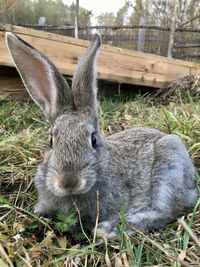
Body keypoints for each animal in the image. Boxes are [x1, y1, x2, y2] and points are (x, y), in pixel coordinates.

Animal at [6, 32, 198, 238]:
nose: (69, 182)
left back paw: (111, 229)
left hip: (169, 166)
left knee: (166, 211)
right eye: (51, 140)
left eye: (93, 139)